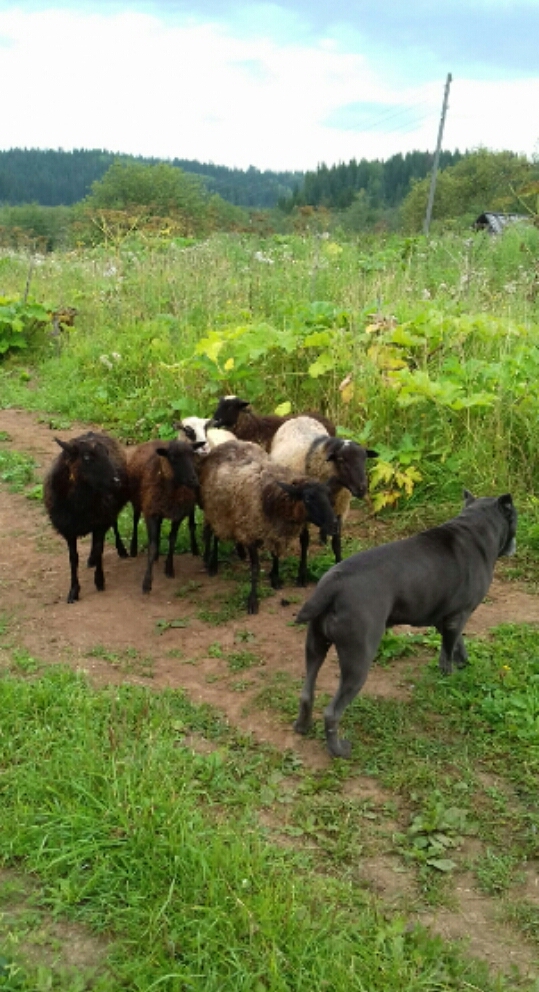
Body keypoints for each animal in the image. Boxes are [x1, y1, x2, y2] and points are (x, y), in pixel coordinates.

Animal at [43, 431, 129, 603]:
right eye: (87, 457)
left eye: (107, 454)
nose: (117, 481)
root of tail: (92, 431)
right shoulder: (68, 529)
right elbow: (73, 559)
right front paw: (74, 591)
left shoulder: (101, 521)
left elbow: (99, 549)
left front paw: (99, 581)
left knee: (114, 526)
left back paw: (121, 550)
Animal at [127, 439, 203, 593]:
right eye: (173, 458)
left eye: (192, 454)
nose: (194, 480)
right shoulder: (151, 513)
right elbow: (152, 546)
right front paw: (147, 583)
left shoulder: (178, 514)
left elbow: (172, 539)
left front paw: (169, 567)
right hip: (138, 500)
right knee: (135, 519)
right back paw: (133, 548)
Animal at [197, 439, 338, 614]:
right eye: (307, 498)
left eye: (328, 496)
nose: (334, 525)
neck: (269, 497)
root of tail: (227, 442)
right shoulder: (250, 531)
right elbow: (255, 568)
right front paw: (252, 600)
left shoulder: (273, 531)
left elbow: (275, 555)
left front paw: (275, 579)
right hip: (216, 511)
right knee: (214, 534)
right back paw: (212, 564)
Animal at [270, 416, 378, 563]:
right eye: (341, 460)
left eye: (364, 459)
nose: (362, 489)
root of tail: (300, 416)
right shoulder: (305, 508)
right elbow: (305, 541)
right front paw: (302, 569)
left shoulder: (340, 511)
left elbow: (336, 543)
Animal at [294, 491, 517, 758]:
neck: (475, 528)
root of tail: (334, 583)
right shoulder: (457, 617)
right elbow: (447, 652)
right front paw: (450, 677)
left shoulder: (447, 619)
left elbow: (458, 644)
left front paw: (465, 664)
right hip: (358, 659)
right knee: (332, 712)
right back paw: (339, 750)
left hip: (315, 645)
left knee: (307, 693)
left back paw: (302, 727)